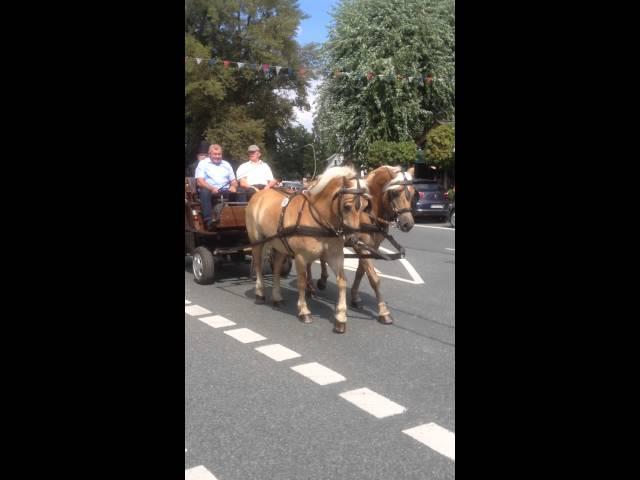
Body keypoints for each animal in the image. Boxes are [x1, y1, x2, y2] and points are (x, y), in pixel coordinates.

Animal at [245, 165, 370, 334]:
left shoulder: (335, 256)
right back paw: (259, 294)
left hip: (280, 245)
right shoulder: (301, 257)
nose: (353, 239)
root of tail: (259, 194)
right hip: (258, 241)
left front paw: (341, 318)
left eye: (364, 207)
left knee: (276, 269)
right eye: (347, 206)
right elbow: (302, 282)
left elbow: (342, 282)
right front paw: (304, 311)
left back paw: (277, 298)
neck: (319, 219)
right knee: (258, 265)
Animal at [308, 163, 416, 324]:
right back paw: (310, 287)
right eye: (395, 192)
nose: (408, 224)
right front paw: (383, 311)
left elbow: (361, 272)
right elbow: (374, 278)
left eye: (413, 193)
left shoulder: (371, 247)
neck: (369, 212)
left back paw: (322, 280)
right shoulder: (360, 245)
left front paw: (355, 297)